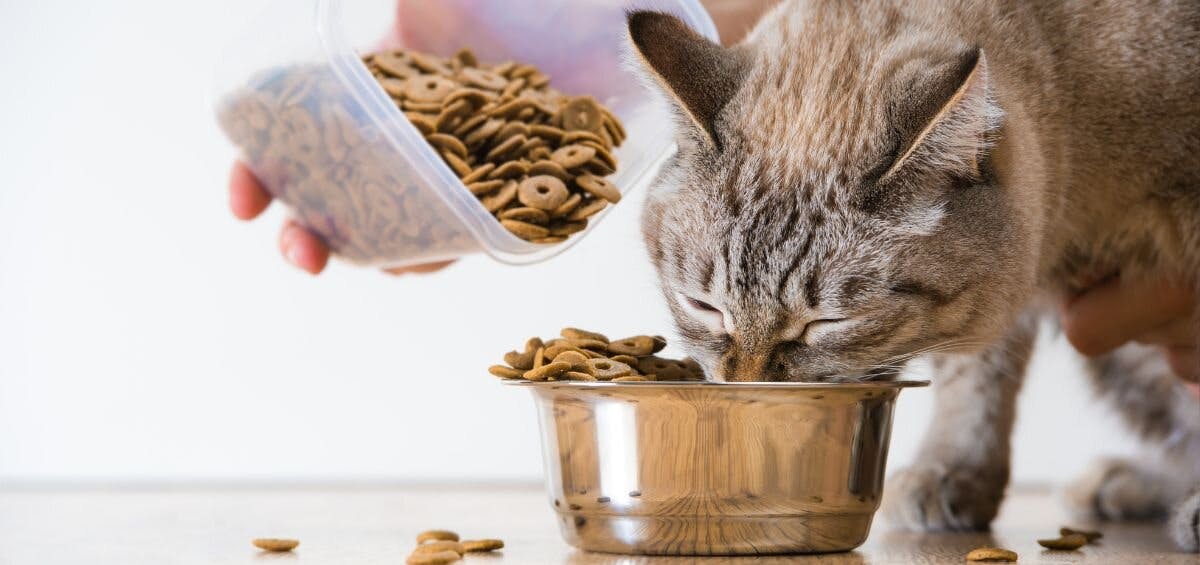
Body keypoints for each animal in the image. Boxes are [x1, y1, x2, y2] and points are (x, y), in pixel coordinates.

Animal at [628, 0, 1200, 551]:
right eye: (704, 307)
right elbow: (973, 382)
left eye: (826, 323)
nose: (744, 390)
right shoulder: (986, 313)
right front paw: (950, 472)